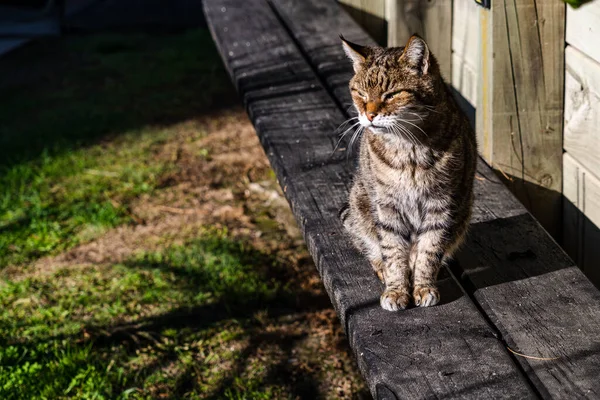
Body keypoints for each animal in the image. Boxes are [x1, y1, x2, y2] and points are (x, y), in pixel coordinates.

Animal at [340, 35, 476, 310]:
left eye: (391, 94)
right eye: (360, 93)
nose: (369, 115)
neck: (408, 149)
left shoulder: (441, 205)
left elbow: (429, 250)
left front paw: (424, 286)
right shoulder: (387, 205)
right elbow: (392, 251)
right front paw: (396, 289)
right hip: (360, 205)